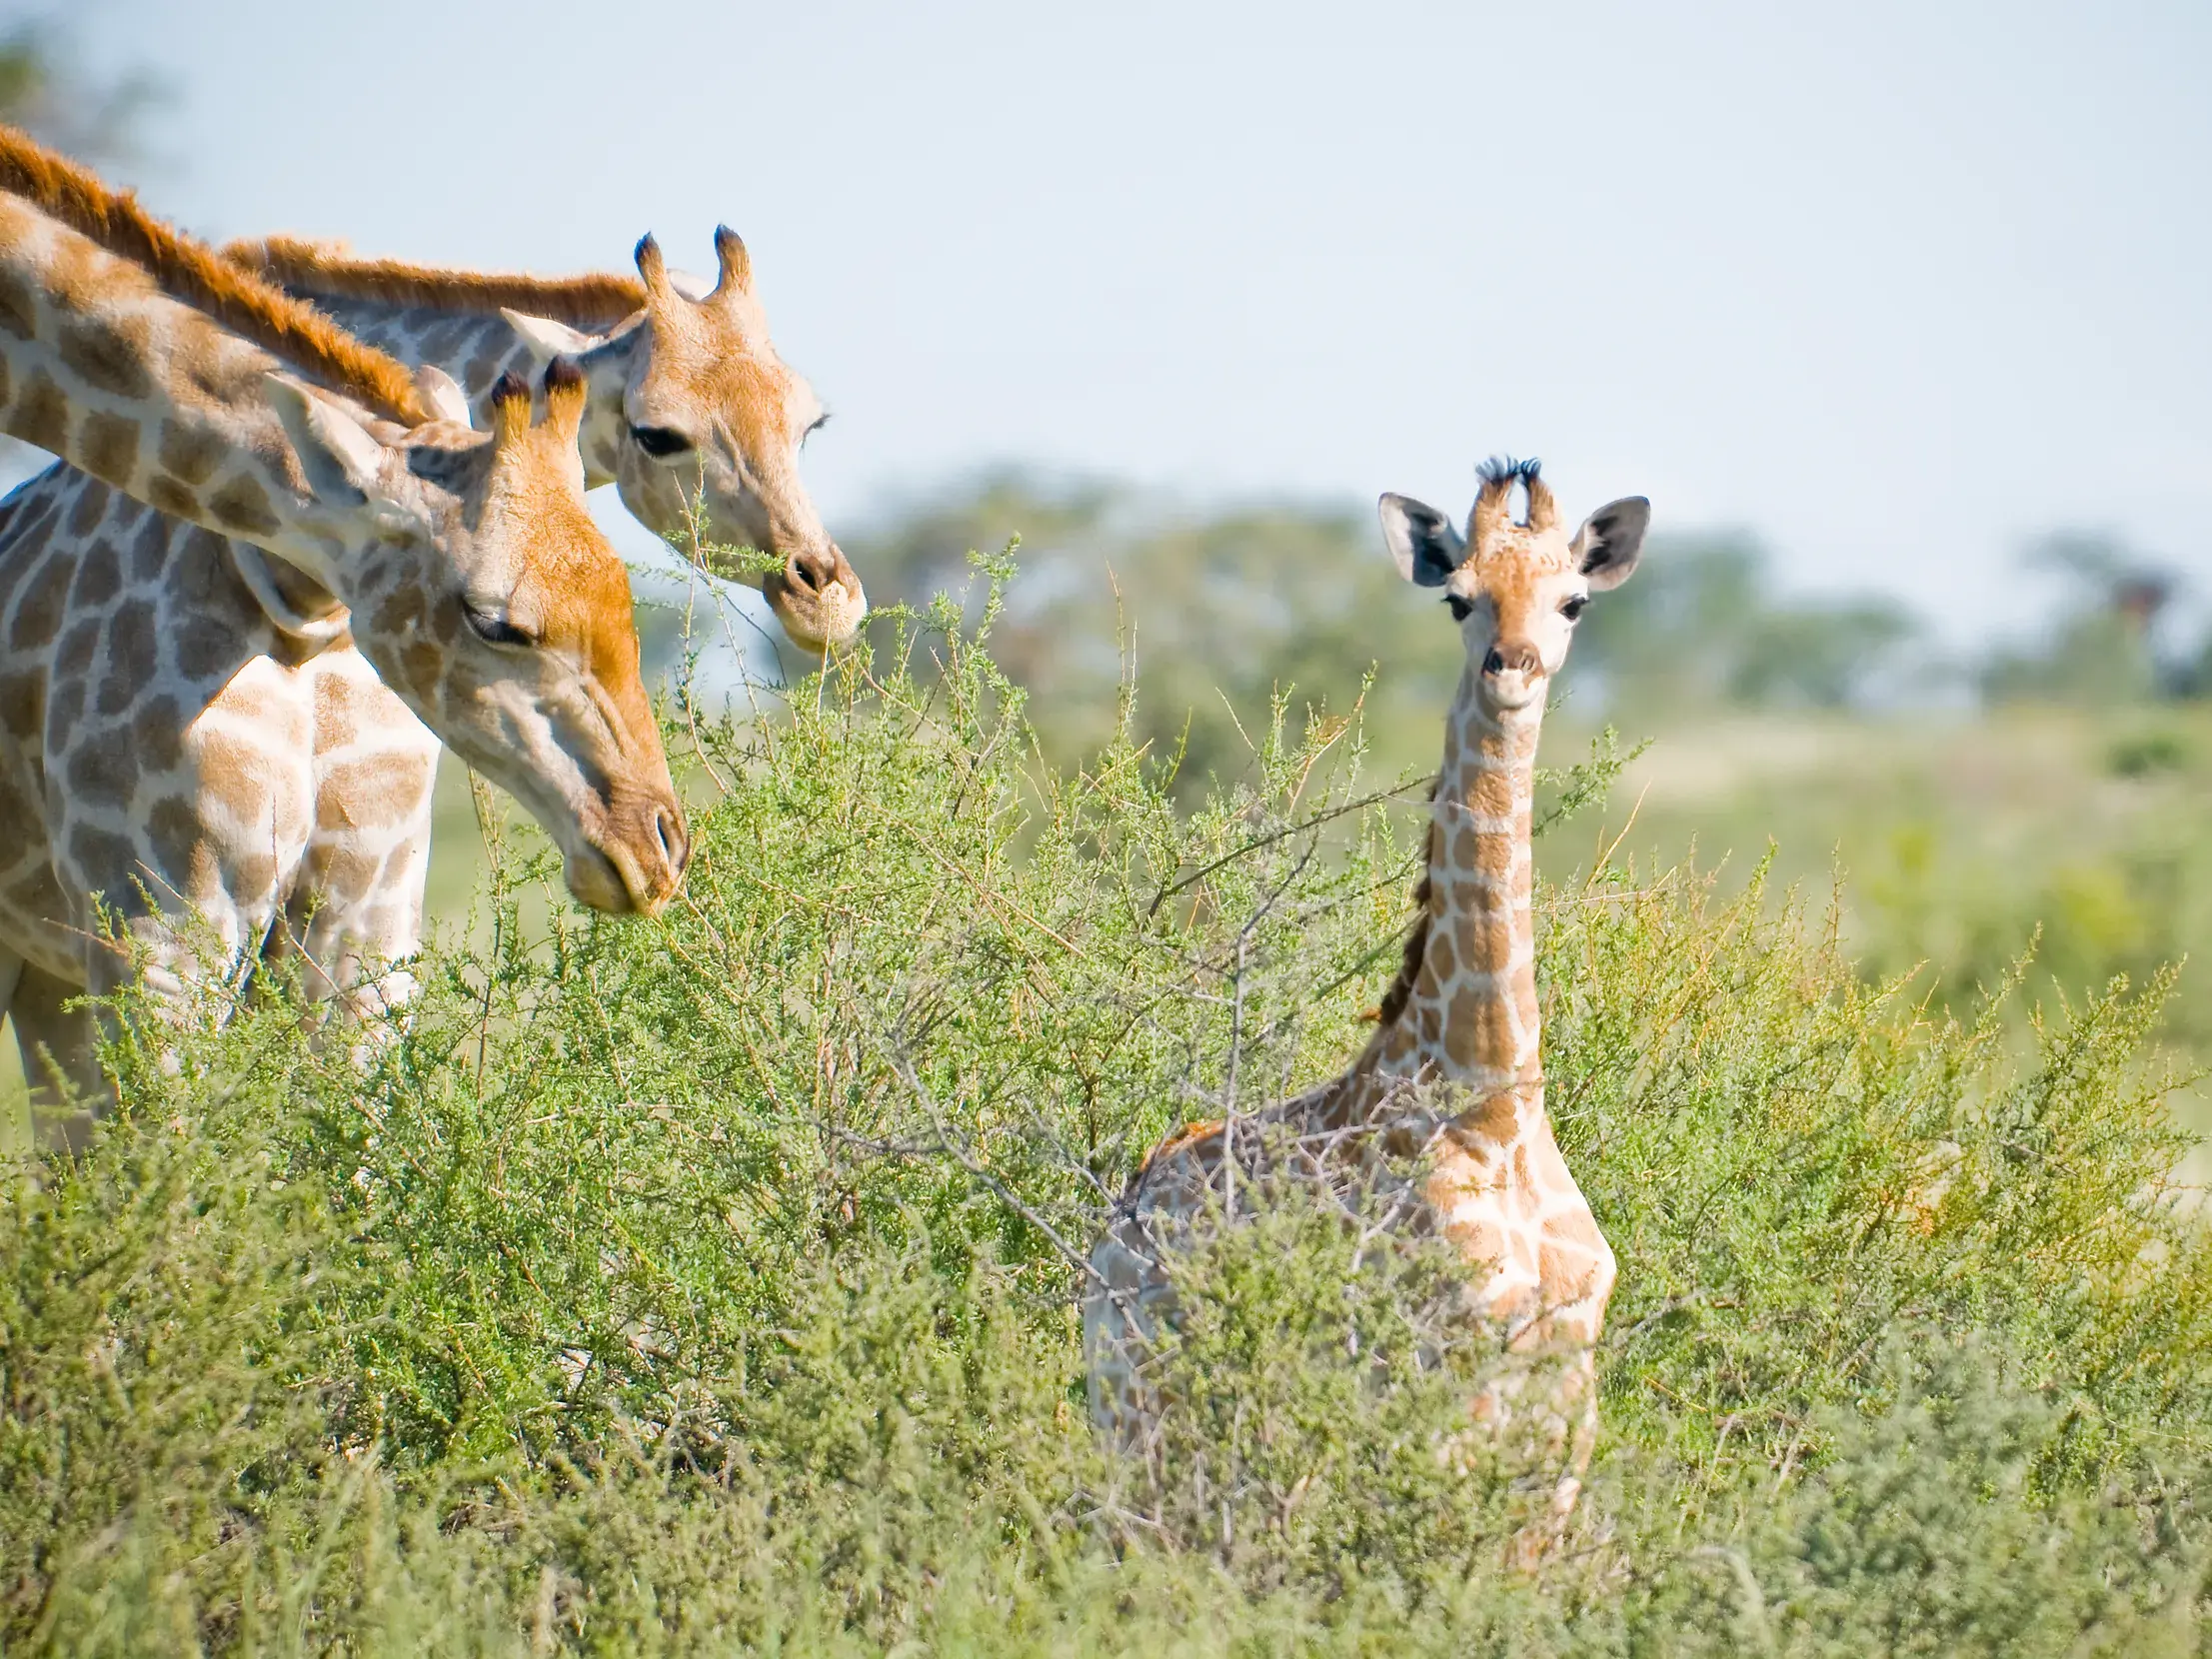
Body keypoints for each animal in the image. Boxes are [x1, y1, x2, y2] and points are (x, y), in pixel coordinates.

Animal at [1084, 456, 1650, 1531]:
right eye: (1457, 598)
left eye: (1574, 602)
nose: (1511, 669)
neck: (1491, 1098)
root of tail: (1126, 1205)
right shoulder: (1447, 1373)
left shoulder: (1567, 1389)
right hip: (1133, 1396)